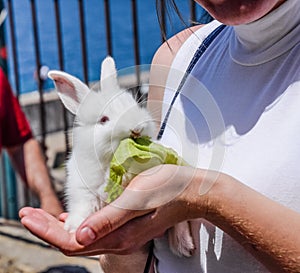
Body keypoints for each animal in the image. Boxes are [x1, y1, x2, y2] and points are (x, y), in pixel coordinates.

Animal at [48, 56, 196, 256]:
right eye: (104, 120)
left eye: (134, 106)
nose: (137, 129)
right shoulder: (83, 190)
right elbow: (84, 206)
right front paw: (73, 228)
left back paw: (184, 246)